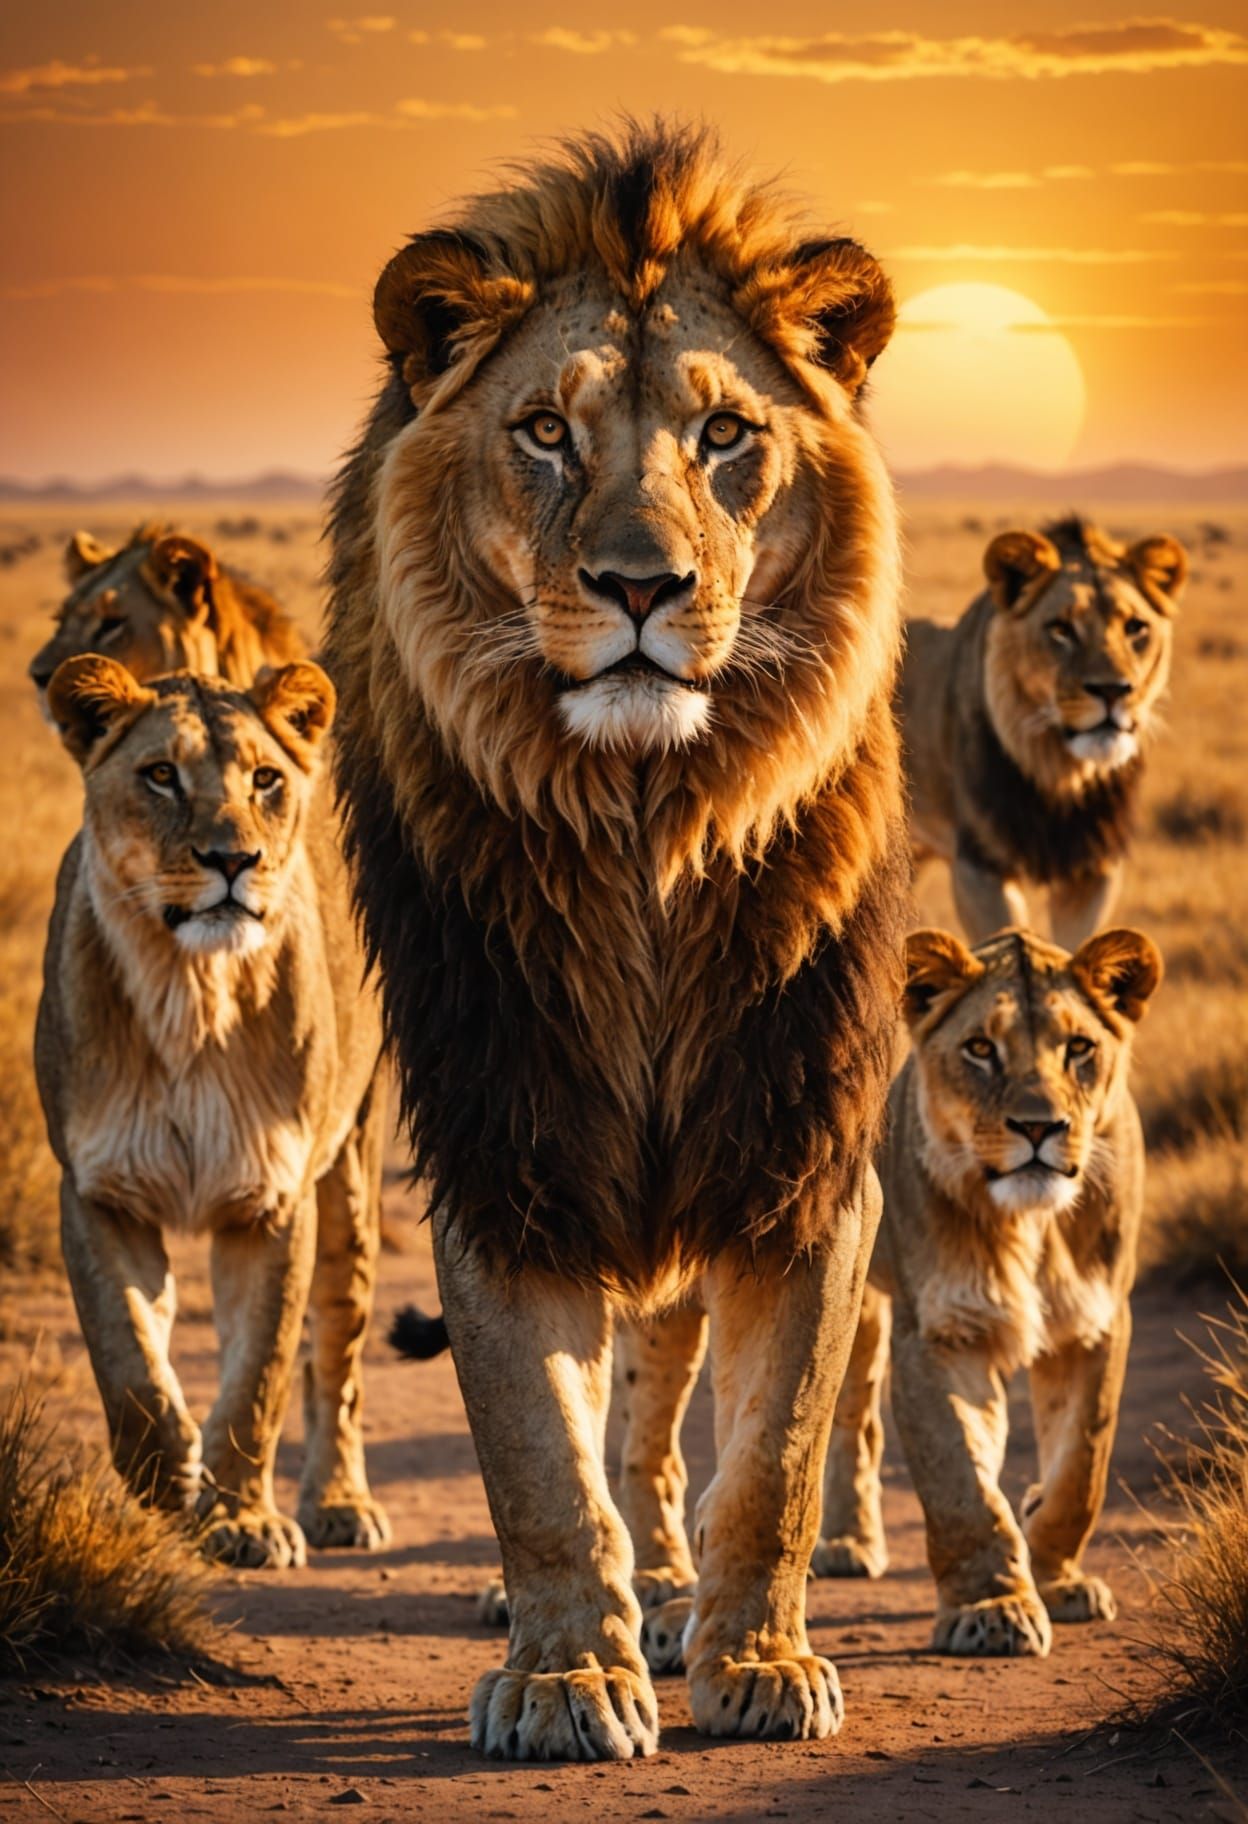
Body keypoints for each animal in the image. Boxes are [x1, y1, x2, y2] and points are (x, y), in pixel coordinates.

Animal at [36, 655, 390, 1567]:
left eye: (265, 780)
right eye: (160, 775)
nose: (234, 859)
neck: (192, 994)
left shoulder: (275, 1201)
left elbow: (261, 1376)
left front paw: (241, 1521)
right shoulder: (99, 1192)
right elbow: (128, 1358)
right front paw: (166, 1481)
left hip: (353, 1167)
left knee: (337, 1351)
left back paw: (340, 1503)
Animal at [325, 120, 908, 1758]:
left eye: (724, 436)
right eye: (543, 433)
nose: (642, 586)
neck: (646, 832)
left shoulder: (800, 1151)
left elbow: (771, 1456)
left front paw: (759, 1663)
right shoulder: (503, 1141)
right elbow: (536, 1456)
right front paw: (568, 1675)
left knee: (657, 1410)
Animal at [814, 924, 1162, 1658]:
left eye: (1079, 1048)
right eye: (980, 1048)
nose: (1038, 1128)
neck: (1030, 1224)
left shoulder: (1097, 1325)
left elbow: (1080, 1467)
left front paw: (1056, 1578)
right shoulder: (940, 1336)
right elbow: (960, 1483)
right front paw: (991, 1607)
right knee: (851, 1417)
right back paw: (847, 1543)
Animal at [903, 516, 1185, 948]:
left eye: (1136, 627)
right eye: (1061, 629)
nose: (1113, 691)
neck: (1061, 773)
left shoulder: (1093, 871)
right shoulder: (979, 867)